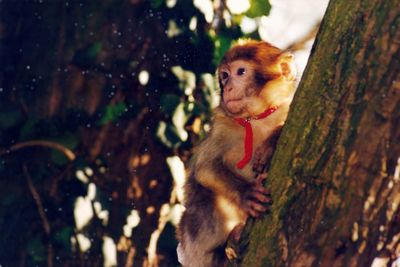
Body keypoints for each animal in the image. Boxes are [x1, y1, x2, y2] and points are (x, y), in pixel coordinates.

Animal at [177, 40, 296, 267]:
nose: (228, 88)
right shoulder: (222, 127)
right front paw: (246, 194)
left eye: (241, 72)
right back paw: (224, 251)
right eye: (224, 75)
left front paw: (269, 144)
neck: (255, 118)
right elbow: (205, 168)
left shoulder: (283, 109)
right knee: (202, 204)